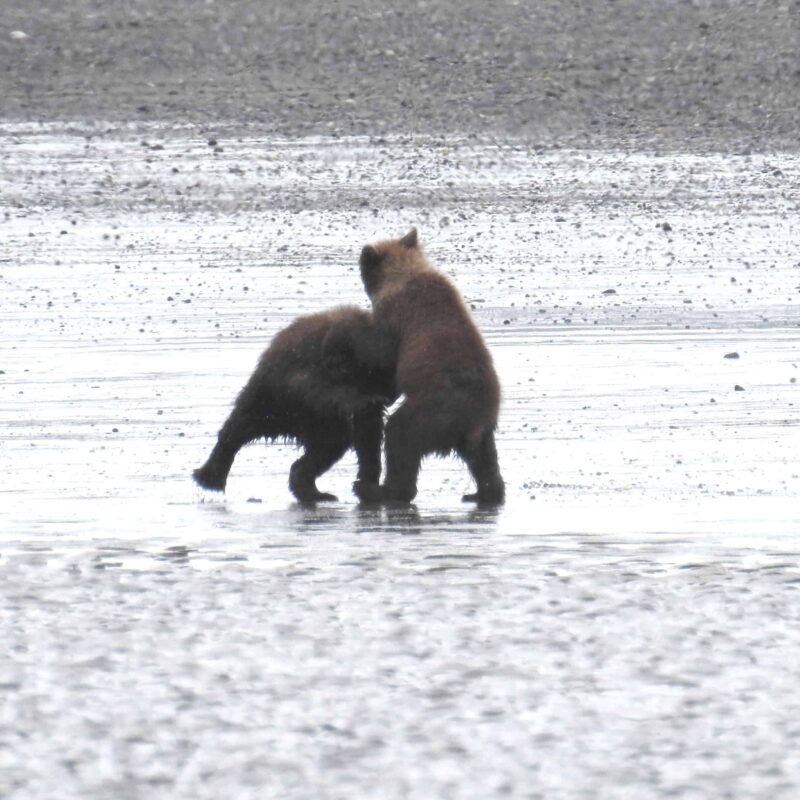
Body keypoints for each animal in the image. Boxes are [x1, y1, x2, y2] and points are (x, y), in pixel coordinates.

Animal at [323, 228, 505, 506]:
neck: (405, 273)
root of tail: (472, 421)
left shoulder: (396, 316)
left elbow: (381, 352)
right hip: (482, 425)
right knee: (485, 460)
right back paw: (482, 493)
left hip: (433, 410)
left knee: (400, 437)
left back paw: (378, 489)